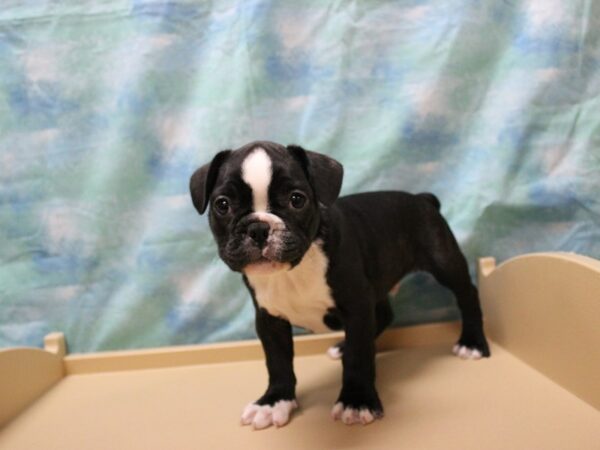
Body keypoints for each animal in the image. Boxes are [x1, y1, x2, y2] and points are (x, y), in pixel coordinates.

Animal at [190, 140, 490, 428]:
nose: (258, 228)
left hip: (444, 262)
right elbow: (277, 361)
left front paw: (356, 402)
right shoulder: (269, 318)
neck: (294, 269)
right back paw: (342, 345)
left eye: (297, 200)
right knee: (383, 314)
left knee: (467, 295)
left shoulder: (356, 306)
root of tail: (421, 198)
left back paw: (472, 343)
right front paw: (274, 402)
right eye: (222, 204)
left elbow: (358, 356)